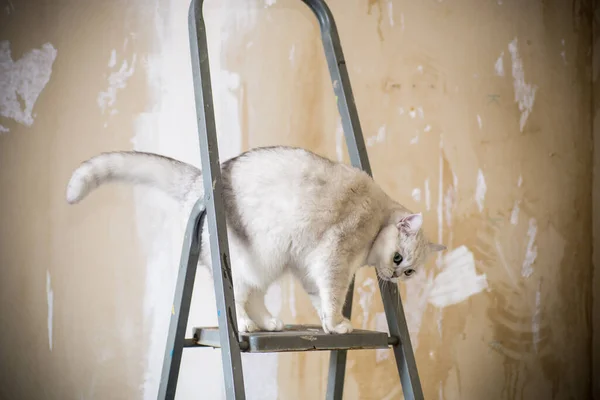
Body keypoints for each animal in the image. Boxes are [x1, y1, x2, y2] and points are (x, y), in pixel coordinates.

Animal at [65, 146, 446, 334]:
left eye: (409, 272)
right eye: (398, 259)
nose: (395, 276)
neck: (378, 216)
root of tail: (199, 181)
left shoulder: (311, 268)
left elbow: (320, 298)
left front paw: (328, 323)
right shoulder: (334, 257)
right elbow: (333, 295)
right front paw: (337, 323)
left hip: (267, 264)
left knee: (256, 298)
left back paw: (269, 323)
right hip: (246, 261)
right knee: (237, 300)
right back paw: (247, 326)